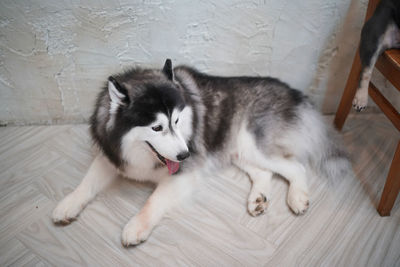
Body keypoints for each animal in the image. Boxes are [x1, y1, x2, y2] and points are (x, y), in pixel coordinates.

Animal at [52, 58, 350, 247]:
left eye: (176, 121)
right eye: (157, 127)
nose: (185, 155)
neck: (141, 156)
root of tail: (295, 93)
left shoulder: (183, 174)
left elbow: (153, 201)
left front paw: (136, 226)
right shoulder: (113, 157)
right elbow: (87, 182)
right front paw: (68, 203)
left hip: (253, 143)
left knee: (295, 166)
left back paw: (297, 197)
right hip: (238, 149)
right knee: (263, 172)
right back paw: (257, 198)